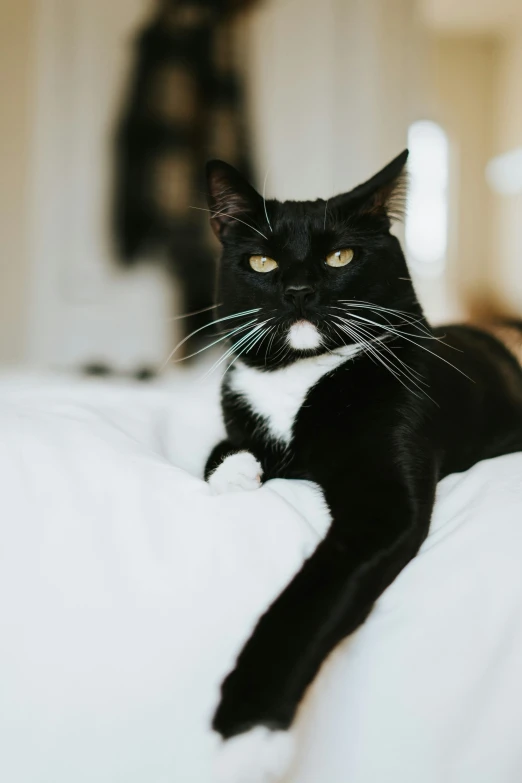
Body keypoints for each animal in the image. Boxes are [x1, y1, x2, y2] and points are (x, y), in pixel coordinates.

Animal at [200, 150, 520, 780]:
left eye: (340, 256)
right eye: (261, 261)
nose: (299, 290)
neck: (301, 376)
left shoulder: (384, 499)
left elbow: (313, 595)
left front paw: (248, 731)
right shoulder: (238, 409)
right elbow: (221, 447)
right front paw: (234, 478)